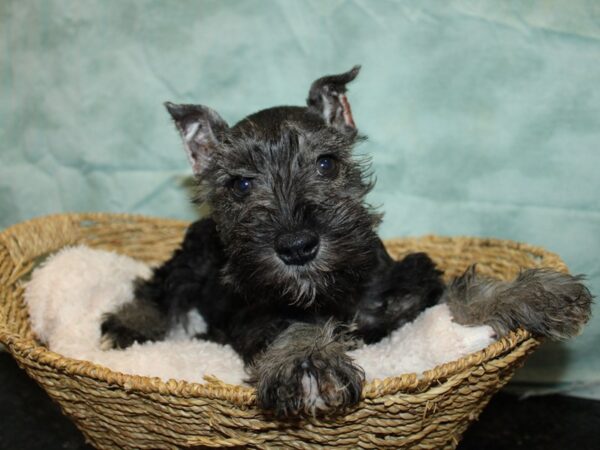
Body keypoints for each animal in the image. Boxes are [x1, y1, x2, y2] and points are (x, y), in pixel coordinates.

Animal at [101, 65, 592, 416]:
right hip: (193, 259)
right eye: (240, 185)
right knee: (157, 287)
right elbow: (290, 325)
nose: (297, 247)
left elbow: (455, 294)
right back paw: (130, 325)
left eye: (326, 163)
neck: (335, 291)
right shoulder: (253, 315)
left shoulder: (406, 296)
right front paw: (307, 360)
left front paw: (531, 293)